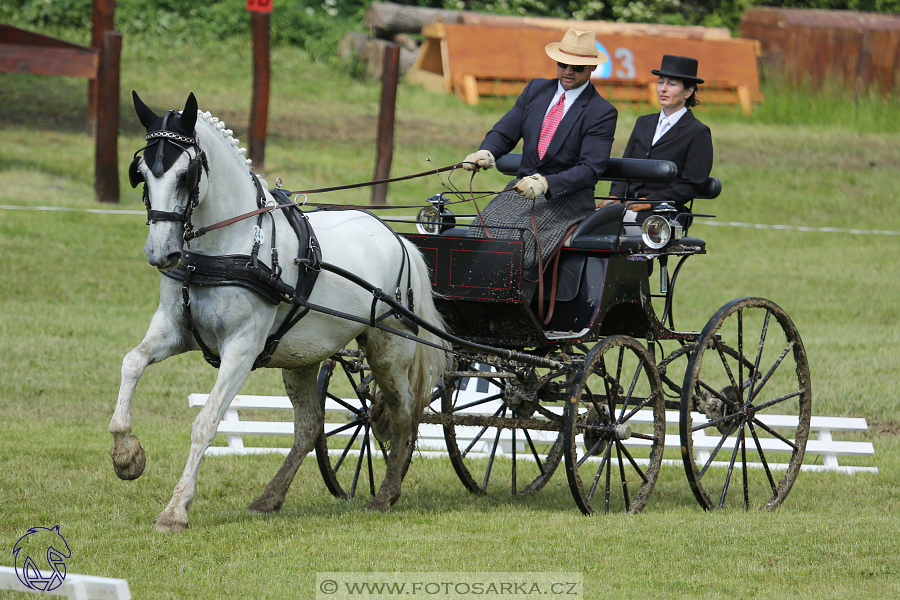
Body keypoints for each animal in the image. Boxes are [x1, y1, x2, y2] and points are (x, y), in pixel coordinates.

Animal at [110, 91, 448, 532]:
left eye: (185, 175)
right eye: (142, 173)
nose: (160, 252)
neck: (227, 245)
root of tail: (399, 238)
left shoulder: (241, 348)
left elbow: (207, 421)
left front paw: (176, 509)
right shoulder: (172, 330)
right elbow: (131, 362)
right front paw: (126, 455)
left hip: (389, 349)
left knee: (405, 413)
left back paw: (385, 495)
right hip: (302, 356)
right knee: (309, 427)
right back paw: (270, 496)